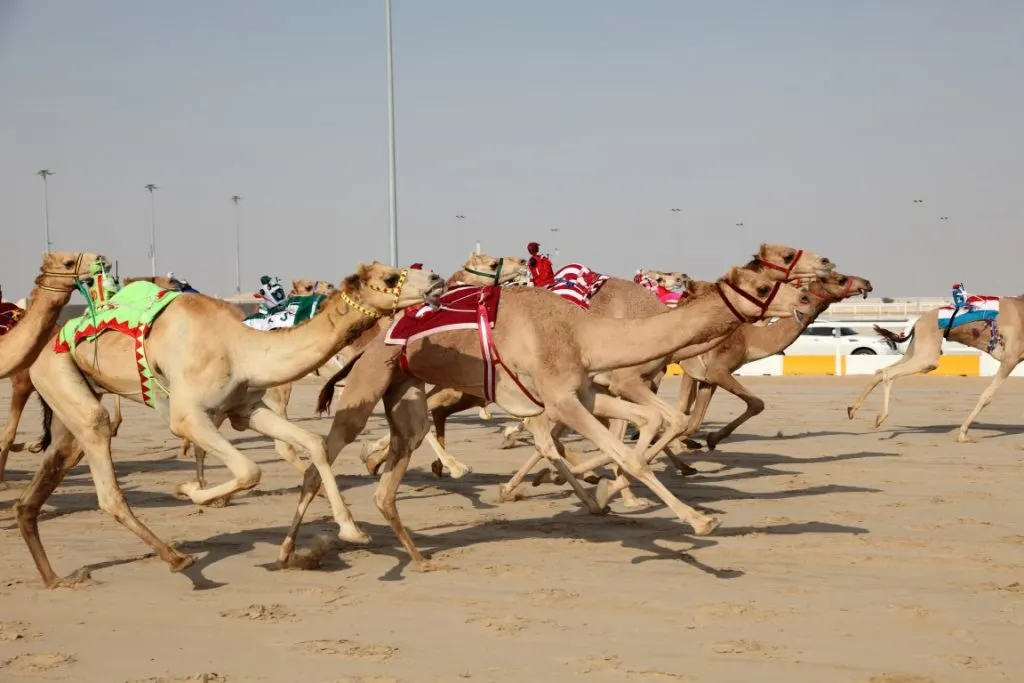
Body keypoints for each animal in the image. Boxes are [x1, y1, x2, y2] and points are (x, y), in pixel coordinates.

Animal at [12, 262, 444, 589]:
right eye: (390, 277)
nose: (437, 279)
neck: (242, 348)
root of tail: (45, 347)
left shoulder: (246, 408)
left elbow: (314, 444)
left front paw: (351, 530)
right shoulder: (187, 416)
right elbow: (249, 470)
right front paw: (191, 491)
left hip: (70, 403)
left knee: (42, 483)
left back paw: (56, 579)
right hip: (60, 376)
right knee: (106, 478)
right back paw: (179, 559)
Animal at [282, 262, 815, 573]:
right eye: (765, 283)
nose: (806, 299)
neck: (583, 331)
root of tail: (368, 341)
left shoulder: (585, 391)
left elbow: (648, 423)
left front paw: (604, 492)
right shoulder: (561, 400)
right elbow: (630, 453)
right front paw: (699, 521)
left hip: (404, 394)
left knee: (389, 477)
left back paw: (415, 556)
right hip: (369, 383)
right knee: (326, 453)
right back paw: (300, 548)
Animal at [847, 294, 1024, 444]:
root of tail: (918, 321)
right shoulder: (1010, 358)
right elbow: (987, 396)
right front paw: (963, 434)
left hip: (915, 348)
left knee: (881, 371)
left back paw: (852, 410)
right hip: (927, 353)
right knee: (890, 373)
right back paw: (879, 418)